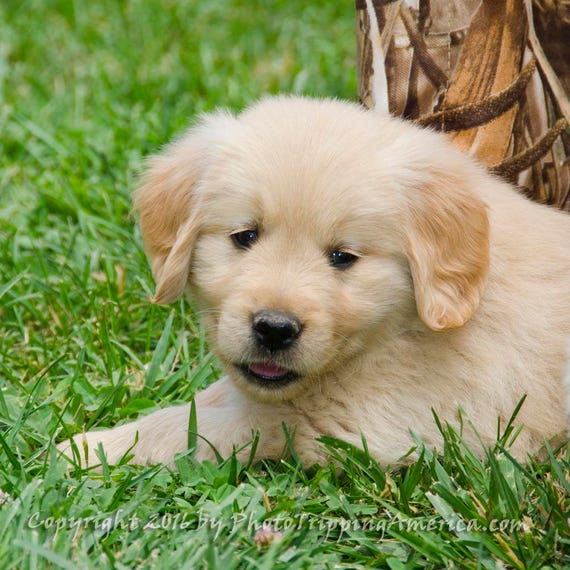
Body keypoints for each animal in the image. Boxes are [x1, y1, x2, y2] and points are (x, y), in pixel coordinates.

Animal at [58, 94, 568, 466]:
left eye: (343, 257)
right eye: (245, 236)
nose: (273, 329)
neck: (397, 334)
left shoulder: (384, 422)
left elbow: (216, 427)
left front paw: (90, 449)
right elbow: (215, 397)